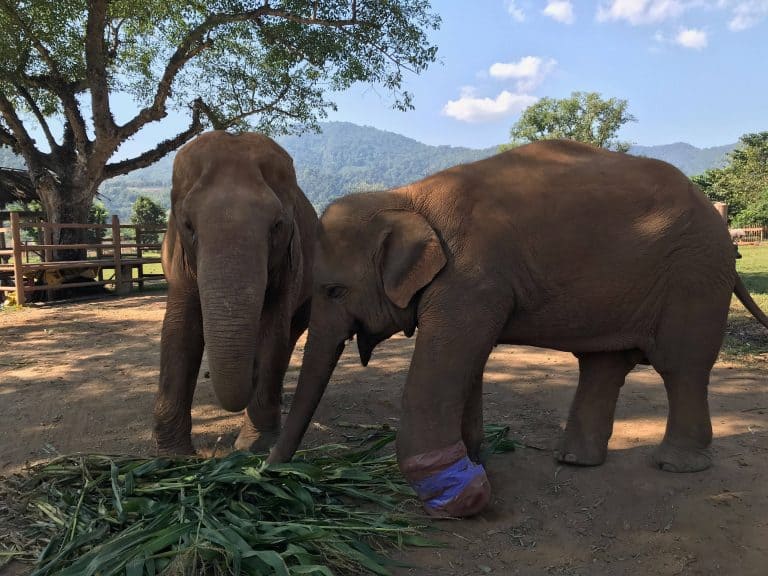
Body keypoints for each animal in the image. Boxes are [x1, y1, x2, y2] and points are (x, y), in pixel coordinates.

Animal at [153, 131, 316, 455]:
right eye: (188, 224)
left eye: (277, 225)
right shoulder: (178, 260)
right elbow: (180, 330)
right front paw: (172, 456)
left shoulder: (291, 262)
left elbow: (273, 332)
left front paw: (252, 447)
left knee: (291, 332)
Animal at [267, 139, 768, 518]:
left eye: (333, 291)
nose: (268, 473)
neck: (406, 198)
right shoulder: (468, 287)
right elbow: (467, 360)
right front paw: (476, 461)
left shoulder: (471, 278)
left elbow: (448, 360)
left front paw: (462, 499)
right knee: (603, 365)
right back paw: (576, 462)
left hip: (694, 275)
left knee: (680, 366)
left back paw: (677, 467)